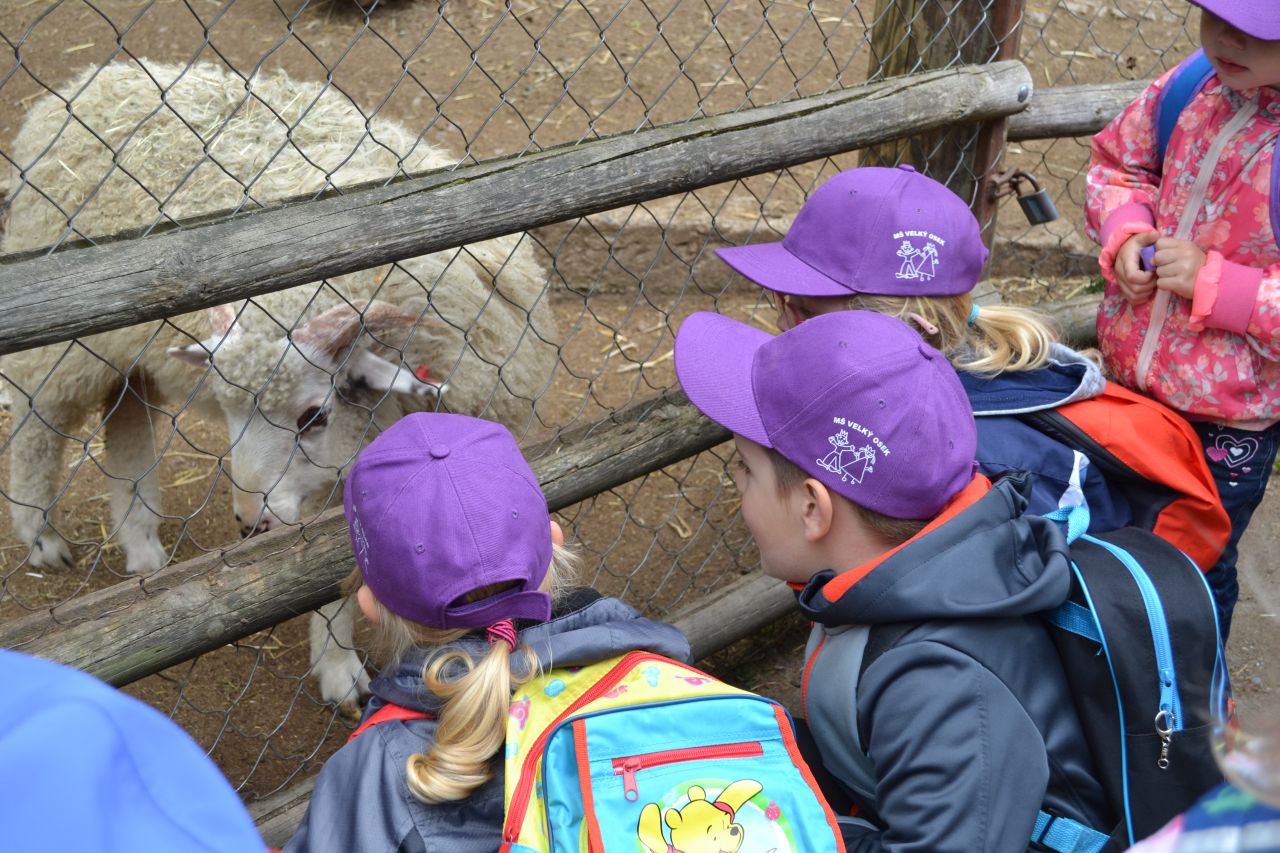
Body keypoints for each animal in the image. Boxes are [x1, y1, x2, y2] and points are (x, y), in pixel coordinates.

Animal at [2, 59, 560, 707]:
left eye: (312, 416)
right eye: (228, 412)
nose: (249, 522)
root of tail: (89, 80)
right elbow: (325, 570)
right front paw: (341, 671)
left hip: (127, 351)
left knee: (127, 417)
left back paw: (140, 543)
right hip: (62, 347)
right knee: (37, 424)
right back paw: (39, 533)